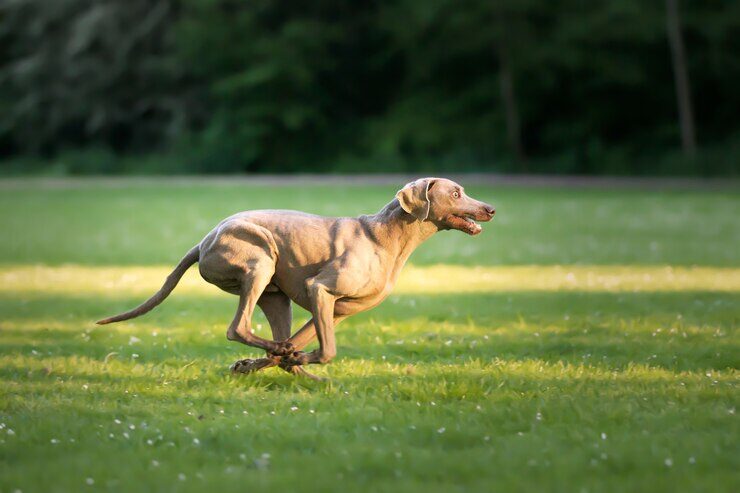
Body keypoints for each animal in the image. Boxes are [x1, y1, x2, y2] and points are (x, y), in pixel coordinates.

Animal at [97, 177, 492, 376]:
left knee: (274, 338)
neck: (386, 237)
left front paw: (275, 361)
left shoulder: (336, 309)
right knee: (237, 328)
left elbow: (306, 343)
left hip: (275, 295)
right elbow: (327, 350)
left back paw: (280, 362)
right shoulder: (321, 290)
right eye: (456, 192)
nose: (490, 208)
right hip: (260, 262)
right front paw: (294, 359)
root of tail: (204, 241)